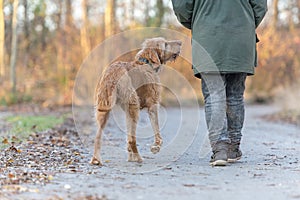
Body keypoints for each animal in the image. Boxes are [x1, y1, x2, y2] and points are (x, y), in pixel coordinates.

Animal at [90, 37, 182, 166]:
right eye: (165, 44)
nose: (180, 42)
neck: (147, 62)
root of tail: (112, 74)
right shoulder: (153, 105)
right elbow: (157, 132)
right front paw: (155, 147)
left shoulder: (127, 111)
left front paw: (130, 156)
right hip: (133, 106)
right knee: (132, 139)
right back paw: (138, 158)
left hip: (104, 109)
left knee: (99, 136)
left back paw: (96, 159)